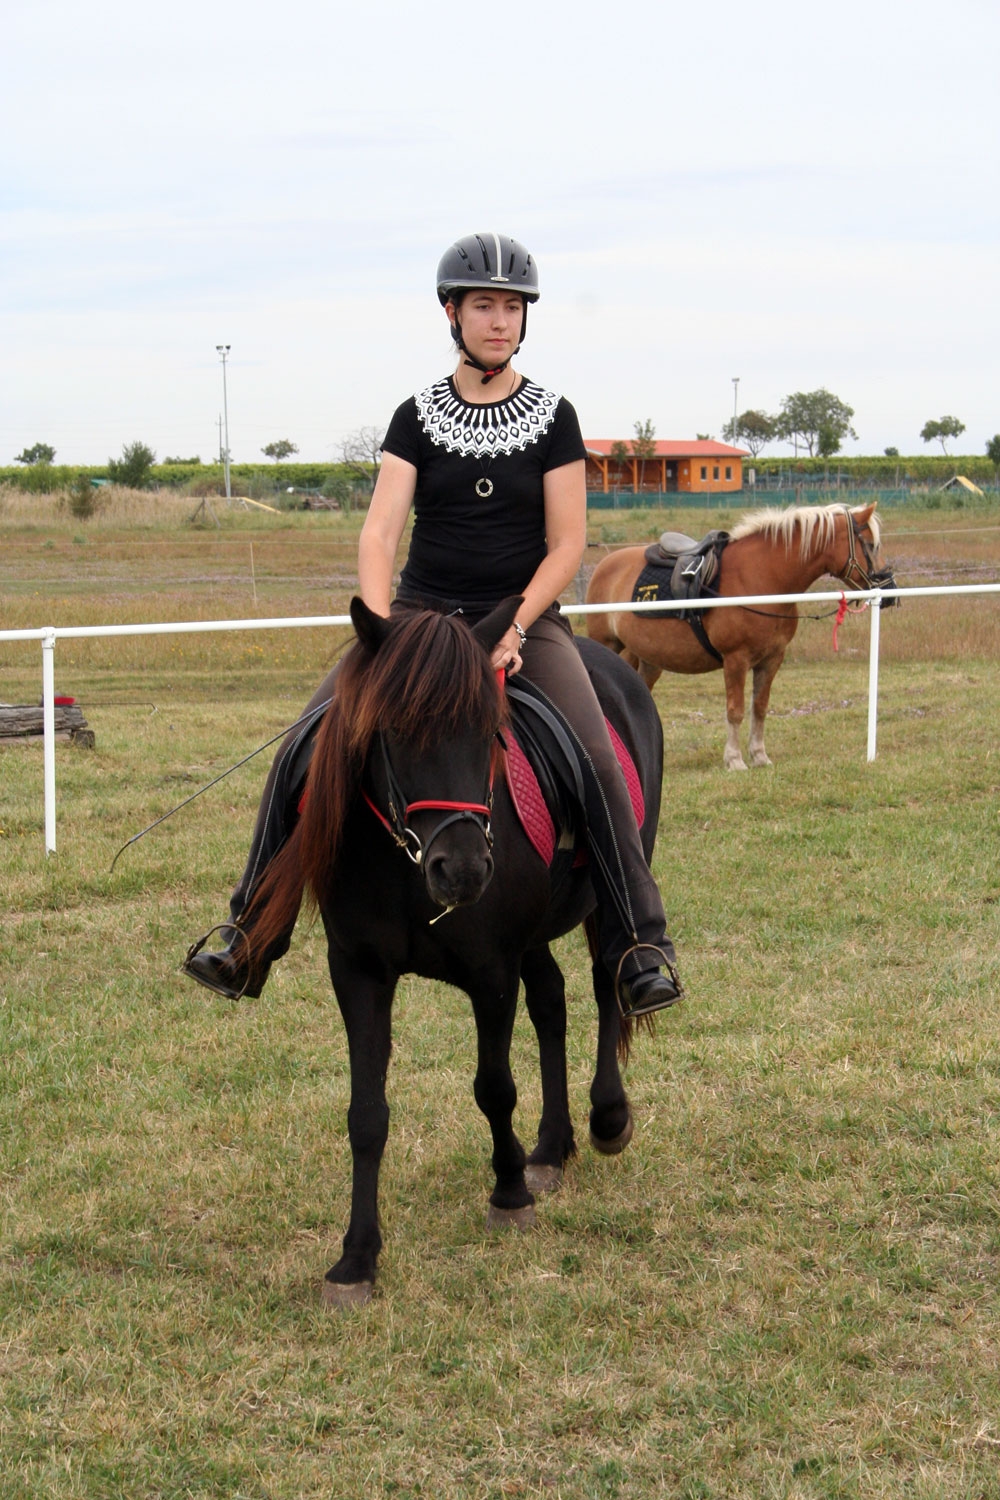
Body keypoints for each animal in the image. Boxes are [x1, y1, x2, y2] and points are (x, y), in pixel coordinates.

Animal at [239, 594, 665, 1302]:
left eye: (490, 731)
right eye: (393, 730)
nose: (462, 871)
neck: (406, 867)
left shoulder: (491, 971)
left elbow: (494, 1087)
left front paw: (509, 1194)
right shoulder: (358, 972)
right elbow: (366, 1114)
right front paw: (356, 1260)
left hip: (612, 888)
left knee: (612, 977)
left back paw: (606, 1118)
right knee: (552, 1001)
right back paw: (551, 1148)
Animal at [581, 504, 893, 774]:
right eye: (870, 545)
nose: (890, 591)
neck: (763, 578)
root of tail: (605, 564)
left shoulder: (772, 659)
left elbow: (760, 707)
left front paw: (759, 756)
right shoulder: (736, 660)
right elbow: (736, 710)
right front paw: (734, 760)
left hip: (646, 658)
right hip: (610, 645)